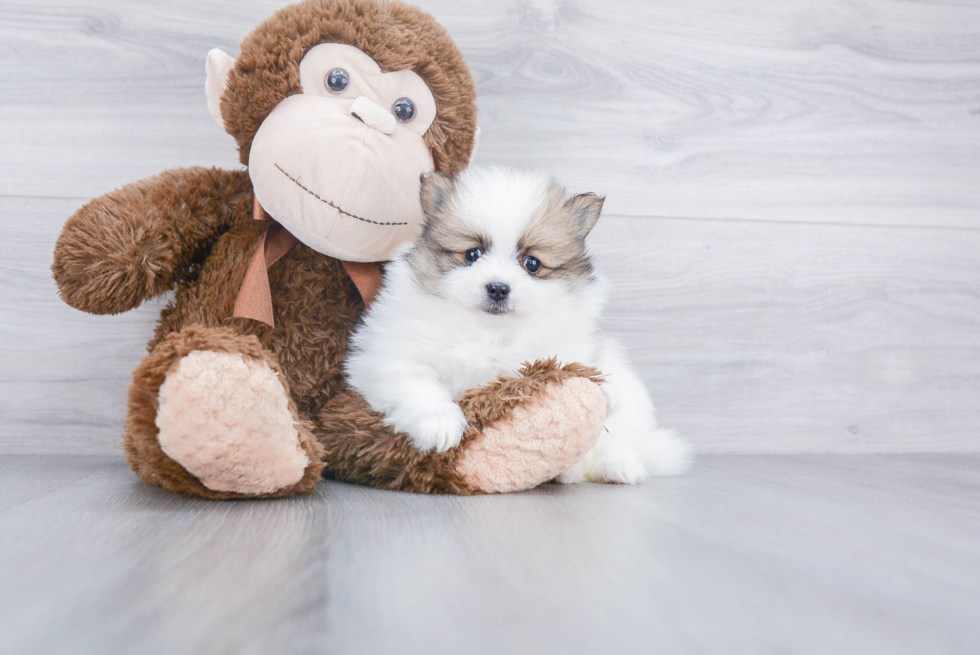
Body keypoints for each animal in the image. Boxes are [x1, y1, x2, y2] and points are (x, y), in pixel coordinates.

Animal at [344, 167, 688, 484]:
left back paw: (615, 467)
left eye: (532, 264)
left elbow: (577, 367)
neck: (489, 332)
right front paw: (441, 425)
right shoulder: (393, 356)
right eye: (472, 254)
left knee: (614, 443)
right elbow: (420, 387)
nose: (498, 288)